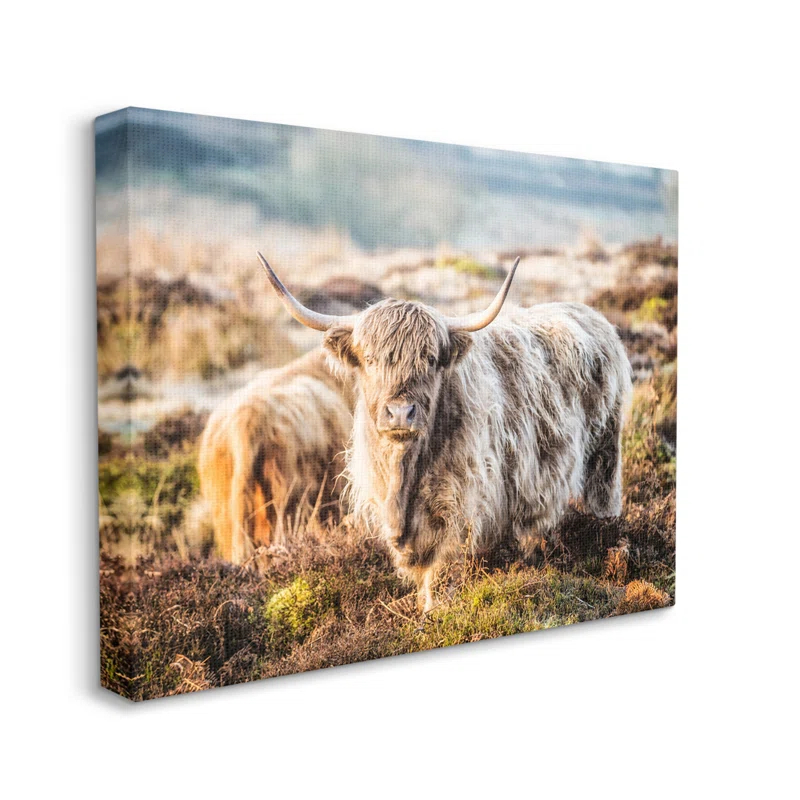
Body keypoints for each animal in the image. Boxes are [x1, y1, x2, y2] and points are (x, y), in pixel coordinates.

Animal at [258, 252, 632, 610]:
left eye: (430, 358)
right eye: (370, 359)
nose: (400, 413)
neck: (404, 475)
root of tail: (592, 315)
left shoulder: (458, 510)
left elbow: (440, 573)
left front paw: (432, 612)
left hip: (604, 456)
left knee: (602, 500)